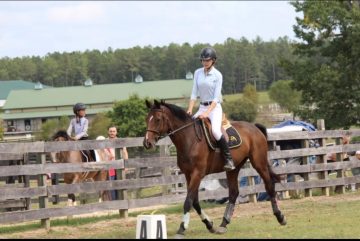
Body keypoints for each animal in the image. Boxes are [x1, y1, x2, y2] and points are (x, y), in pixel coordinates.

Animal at [142, 99, 286, 237]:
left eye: (157, 119)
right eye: (147, 119)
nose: (147, 143)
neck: (190, 139)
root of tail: (254, 127)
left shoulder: (197, 174)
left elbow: (188, 201)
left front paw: (182, 229)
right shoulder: (188, 175)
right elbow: (195, 201)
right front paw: (209, 224)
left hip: (259, 163)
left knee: (269, 186)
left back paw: (280, 217)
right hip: (233, 169)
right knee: (233, 193)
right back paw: (223, 224)